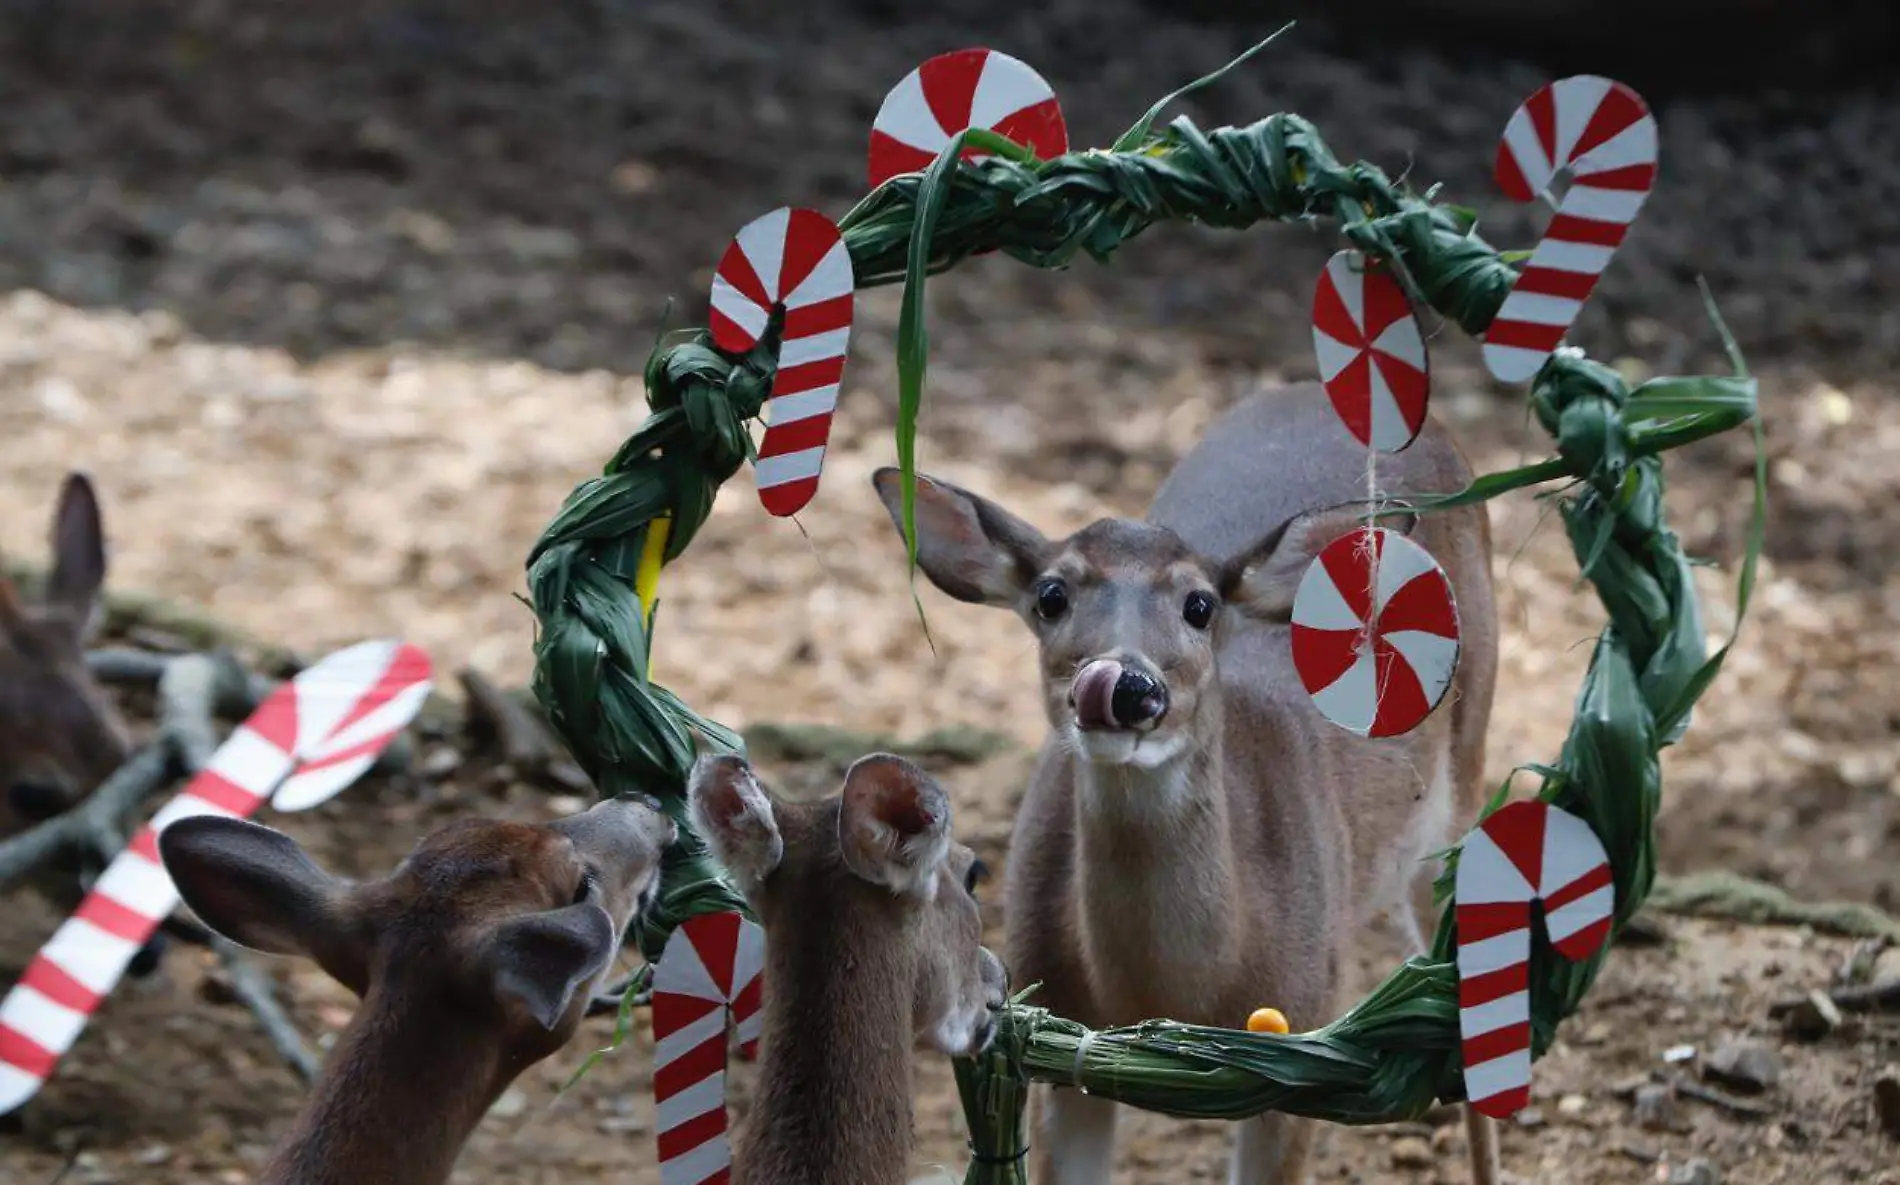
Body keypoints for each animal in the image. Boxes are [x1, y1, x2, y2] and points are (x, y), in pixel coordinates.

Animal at [870, 381, 1497, 1185]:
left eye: (1200, 604)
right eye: (1050, 595)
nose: (1126, 686)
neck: (1175, 993)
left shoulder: (1305, 1039)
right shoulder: (1050, 1040)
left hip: (1462, 778)